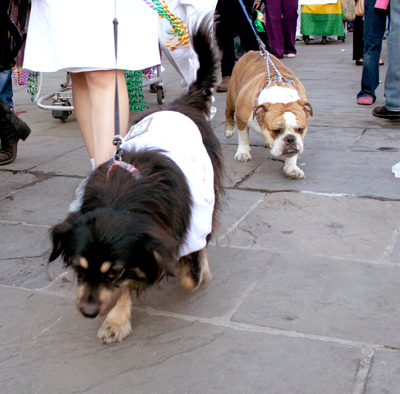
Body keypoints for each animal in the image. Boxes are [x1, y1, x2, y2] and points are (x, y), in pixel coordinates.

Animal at [48, 20, 223, 344]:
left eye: (114, 272)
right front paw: (117, 319)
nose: (88, 312)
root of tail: (182, 105)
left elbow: (174, 272)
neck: (121, 198)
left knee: (205, 232)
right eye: (78, 268)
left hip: (207, 189)